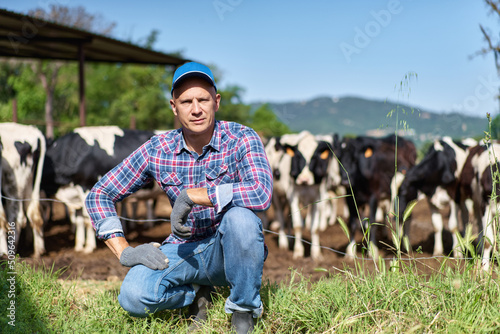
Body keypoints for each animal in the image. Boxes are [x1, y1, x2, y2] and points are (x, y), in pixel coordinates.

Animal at [0, 124, 46, 258]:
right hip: (29, 185)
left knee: (15, 217)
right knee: (34, 214)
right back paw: (38, 251)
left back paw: (10, 252)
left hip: (13, 185)